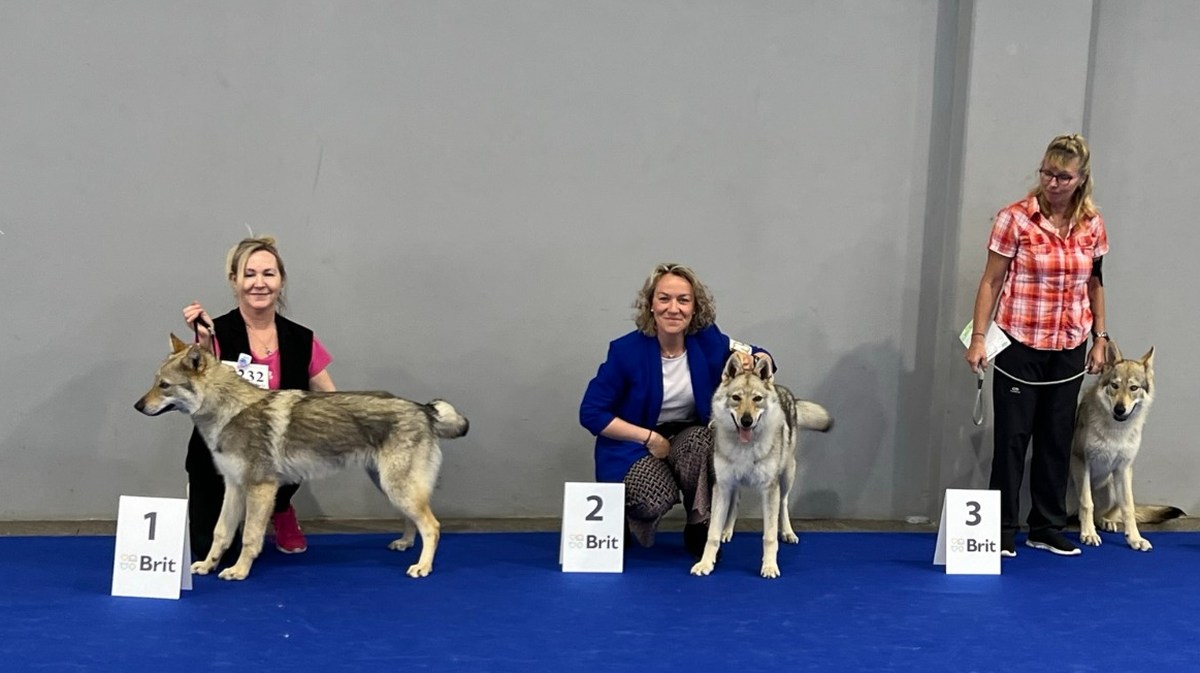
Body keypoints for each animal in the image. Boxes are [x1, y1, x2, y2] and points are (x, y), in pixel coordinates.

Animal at [135, 334, 469, 580]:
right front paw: (207, 565)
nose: (137, 406)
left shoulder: (260, 489)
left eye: (163, 385)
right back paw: (405, 544)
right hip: (390, 487)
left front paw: (238, 570)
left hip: (397, 487)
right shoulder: (234, 487)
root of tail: (423, 408)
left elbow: (250, 536)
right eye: (154, 381)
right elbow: (221, 533)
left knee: (432, 526)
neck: (228, 411)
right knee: (413, 520)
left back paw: (422, 566)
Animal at [691, 352, 832, 578]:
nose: (746, 421)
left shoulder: (769, 489)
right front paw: (705, 564)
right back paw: (727, 531)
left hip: (786, 477)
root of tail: (783, 391)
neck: (745, 448)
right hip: (735, 486)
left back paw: (788, 533)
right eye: (736, 398)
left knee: (784, 504)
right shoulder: (722, 487)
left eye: (757, 399)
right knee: (736, 503)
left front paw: (770, 566)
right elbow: (711, 534)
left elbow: (769, 536)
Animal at [1070, 341, 1181, 551]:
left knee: (1109, 513)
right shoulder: (1082, 461)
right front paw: (1088, 534)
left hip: (1114, 486)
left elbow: (1128, 508)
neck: (1116, 431)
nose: (1120, 409)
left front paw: (1135, 538)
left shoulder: (1123, 468)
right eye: (1115, 386)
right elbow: (1087, 503)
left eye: (1133, 388)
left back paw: (1106, 522)